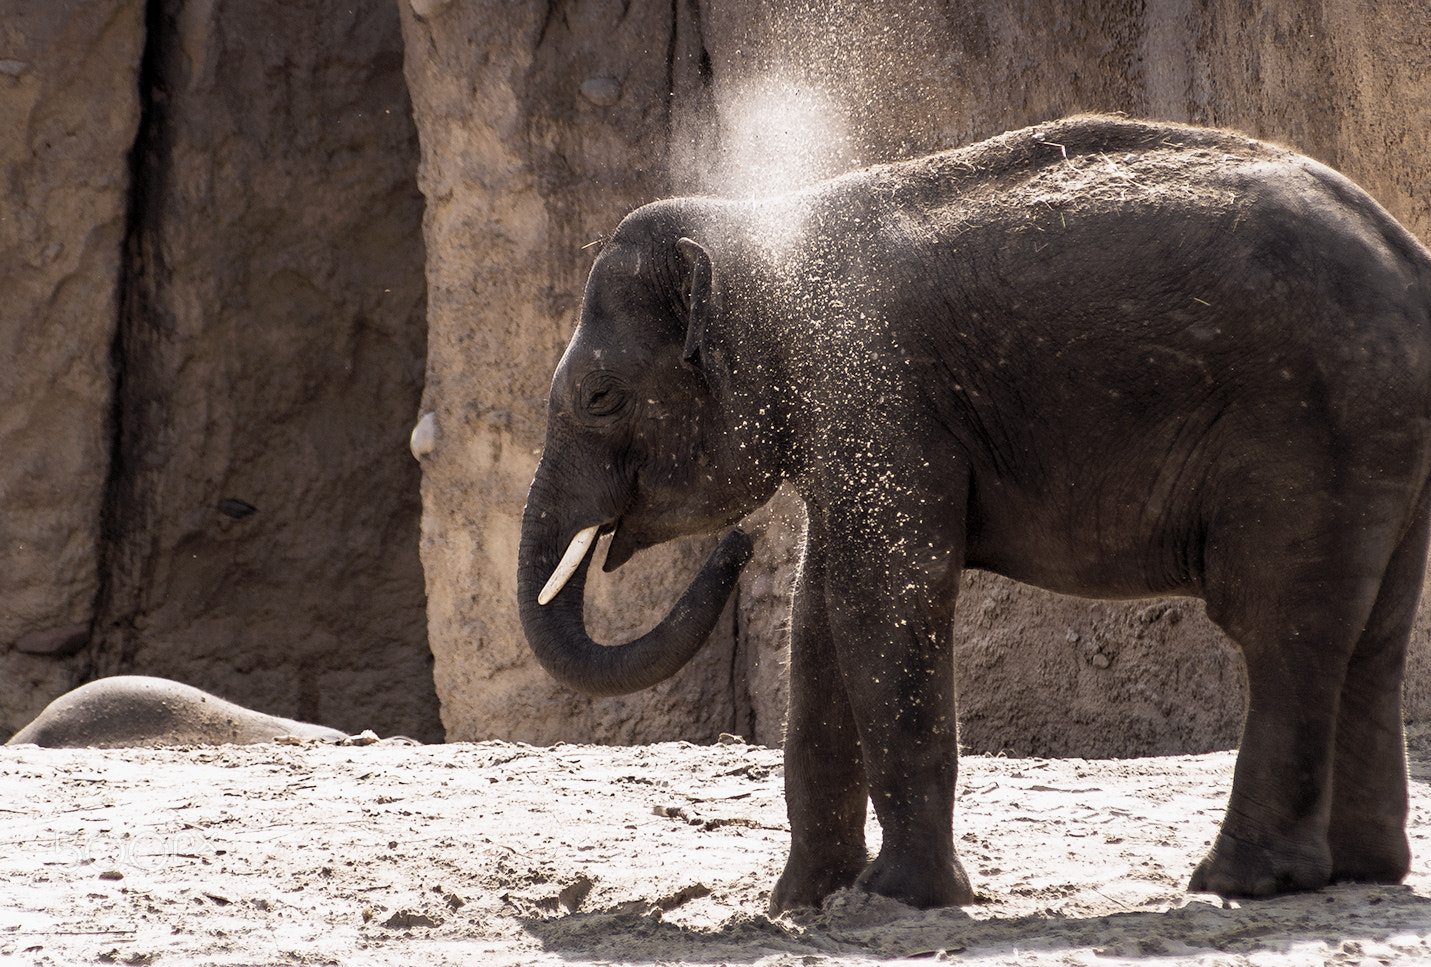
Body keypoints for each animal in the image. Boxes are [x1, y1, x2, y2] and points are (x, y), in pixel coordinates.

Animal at [518, 117, 1431, 909]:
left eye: (598, 398)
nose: (737, 549)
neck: (759, 223)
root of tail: (1407, 261)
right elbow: (820, 615)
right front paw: (803, 903)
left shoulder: (874, 385)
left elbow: (882, 598)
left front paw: (895, 900)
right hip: (1377, 442)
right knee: (1371, 635)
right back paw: (1360, 869)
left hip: (1304, 428)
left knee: (1278, 626)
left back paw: (1241, 880)